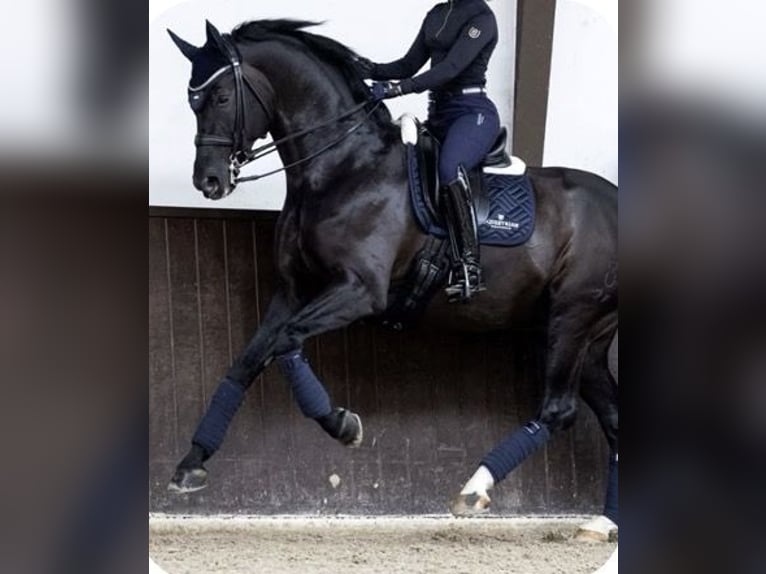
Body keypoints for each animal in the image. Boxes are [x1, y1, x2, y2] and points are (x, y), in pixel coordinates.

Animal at [164, 19, 618, 529]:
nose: (209, 181)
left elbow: (288, 340)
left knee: (559, 410)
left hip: (571, 316)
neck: (342, 167)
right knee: (614, 422)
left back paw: (474, 489)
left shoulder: (361, 289)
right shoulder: (294, 289)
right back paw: (603, 524)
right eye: (192, 101)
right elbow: (248, 360)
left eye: (222, 97)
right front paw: (192, 463)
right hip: (588, 336)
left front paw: (342, 424)